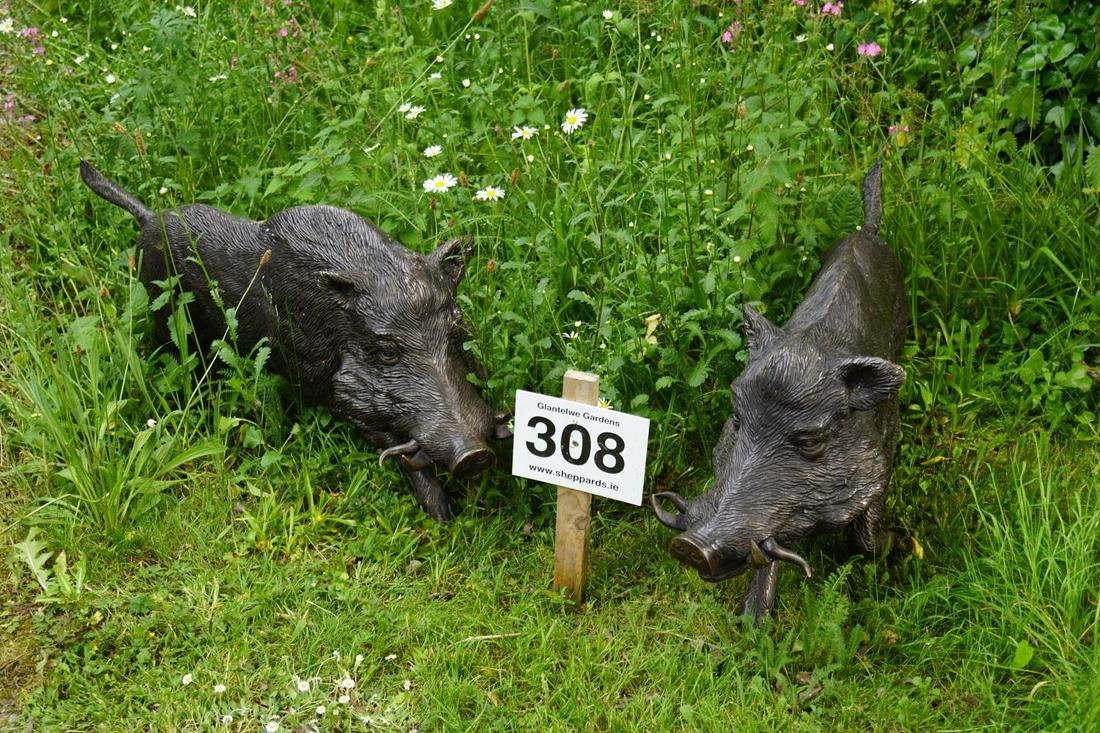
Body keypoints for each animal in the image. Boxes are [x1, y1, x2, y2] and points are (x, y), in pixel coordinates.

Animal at [79, 160, 511, 522]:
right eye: (388, 351)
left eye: (456, 333)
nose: (475, 455)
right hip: (163, 309)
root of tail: (148, 217)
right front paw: (442, 516)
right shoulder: (318, 379)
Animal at [651, 160, 909, 619]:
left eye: (810, 441)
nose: (690, 547)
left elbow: (863, 541)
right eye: (736, 420)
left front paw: (899, 541)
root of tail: (865, 230)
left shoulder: (884, 460)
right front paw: (751, 623)